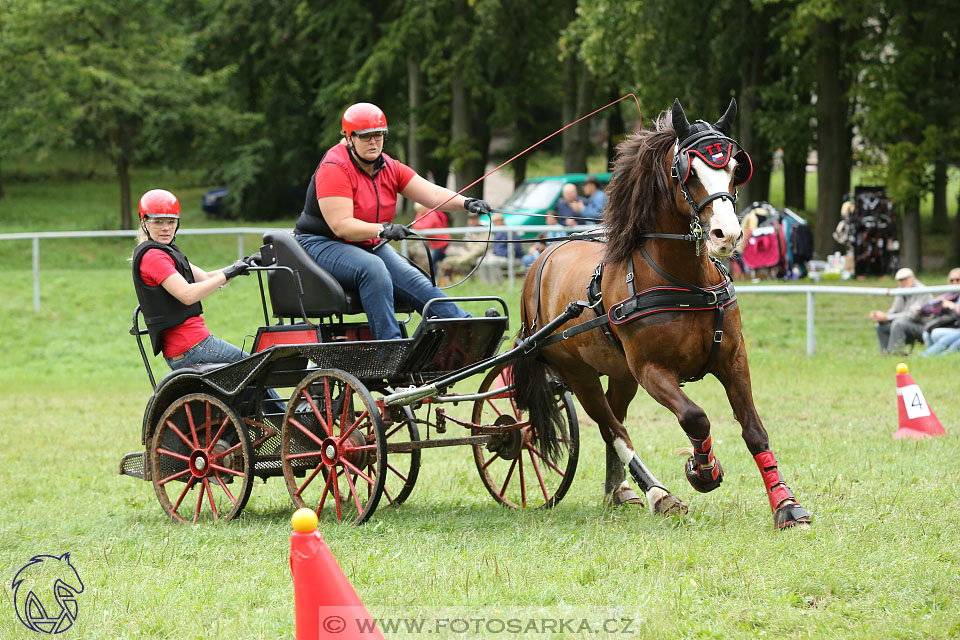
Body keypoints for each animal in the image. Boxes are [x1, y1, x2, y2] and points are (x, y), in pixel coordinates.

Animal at [510, 97, 808, 528]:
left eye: (735, 168)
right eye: (690, 171)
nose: (728, 235)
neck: (685, 283)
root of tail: (540, 261)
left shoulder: (733, 359)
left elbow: (754, 429)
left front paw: (785, 503)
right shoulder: (652, 371)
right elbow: (695, 417)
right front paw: (703, 471)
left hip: (619, 374)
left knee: (614, 419)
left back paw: (621, 489)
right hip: (579, 373)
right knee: (611, 426)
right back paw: (658, 492)